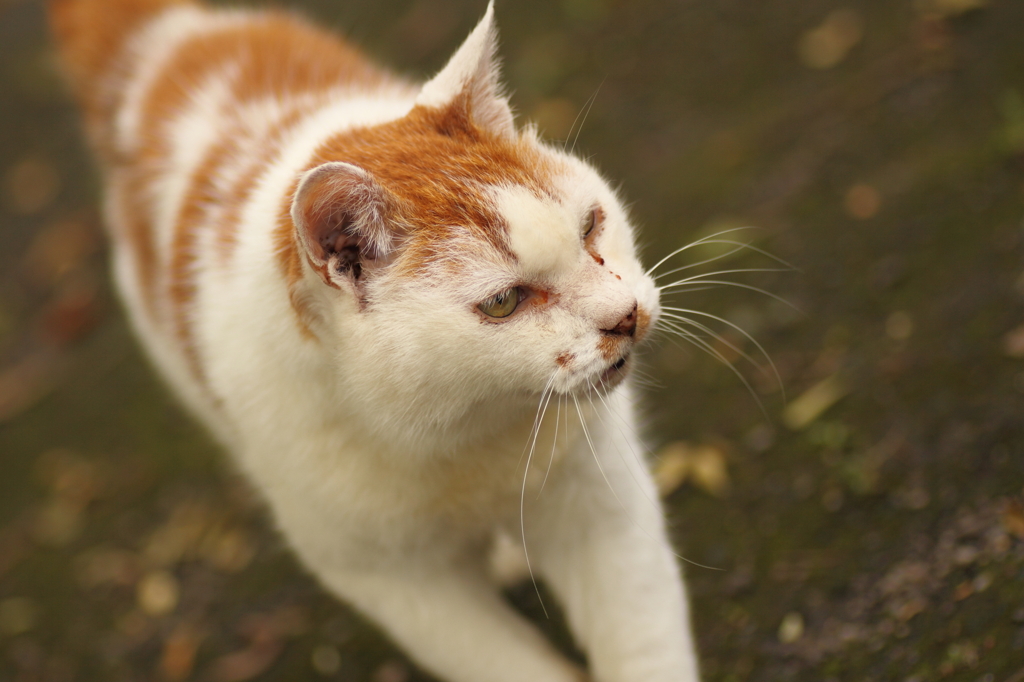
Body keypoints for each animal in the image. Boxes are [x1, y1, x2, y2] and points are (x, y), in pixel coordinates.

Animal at [48, 0, 704, 675]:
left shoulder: (597, 502)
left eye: (591, 226)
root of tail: (168, 43)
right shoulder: (395, 583)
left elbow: (641, 637)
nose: (625, 315)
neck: (461, 431)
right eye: (503, 302)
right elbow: (503, 663)